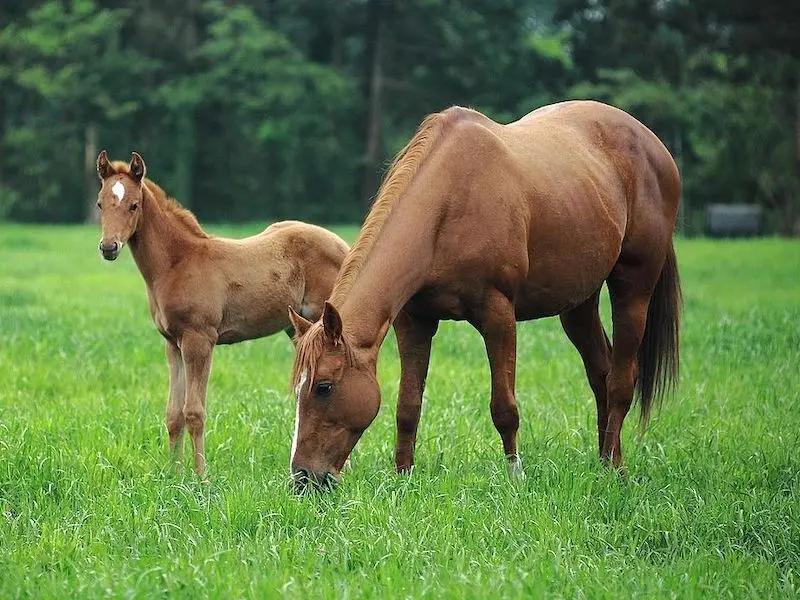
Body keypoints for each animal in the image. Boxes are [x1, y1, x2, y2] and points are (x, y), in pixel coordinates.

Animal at [95, 152, 348, 476]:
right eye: (100, 203)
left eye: (134, 205)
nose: (109, 247)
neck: (177, 263)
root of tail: (343, 245)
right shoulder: (172, 344)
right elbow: (173, 414)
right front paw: (174, 476)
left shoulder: (199, 340)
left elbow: (194, 412)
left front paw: (202, 478)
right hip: (298, 330)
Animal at [288, 99, 680, 492]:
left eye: (323, 387)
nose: (303, 477)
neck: (447, 205)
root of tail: (652, 144)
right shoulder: (415, 322)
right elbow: (408, 406)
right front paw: (404, 477)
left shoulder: (498, 316)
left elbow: (504, 408)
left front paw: (515, 477)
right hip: (578, 304)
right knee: (600, 374)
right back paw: (602, 463)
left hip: (634, 288)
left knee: (620, 382)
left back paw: (616, 470)